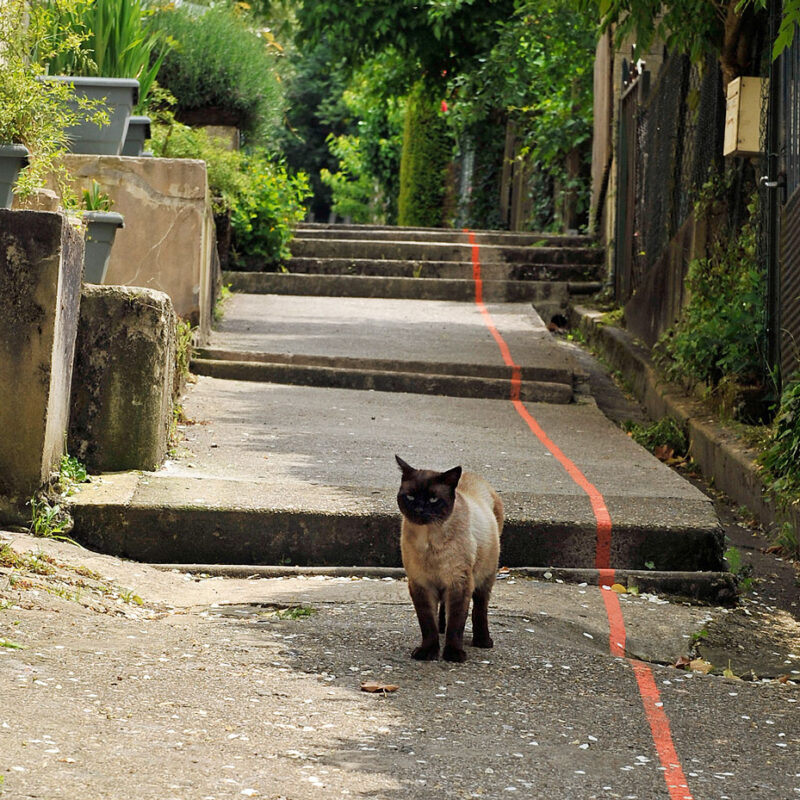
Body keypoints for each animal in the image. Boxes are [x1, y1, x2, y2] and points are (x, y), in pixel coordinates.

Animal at [396, 456, 504, 664]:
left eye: (433, 499)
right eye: (411, 497)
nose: (419, 509)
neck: (428, 539)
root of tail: (473, 474)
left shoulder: (459, 582)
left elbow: (457, 624)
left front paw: (453, 654)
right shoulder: (421, 584)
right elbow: (427, 624)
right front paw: (428, 652)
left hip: (484, 578)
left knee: (480, 609)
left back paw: (482, 640)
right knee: (444, 609)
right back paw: (441, 629)